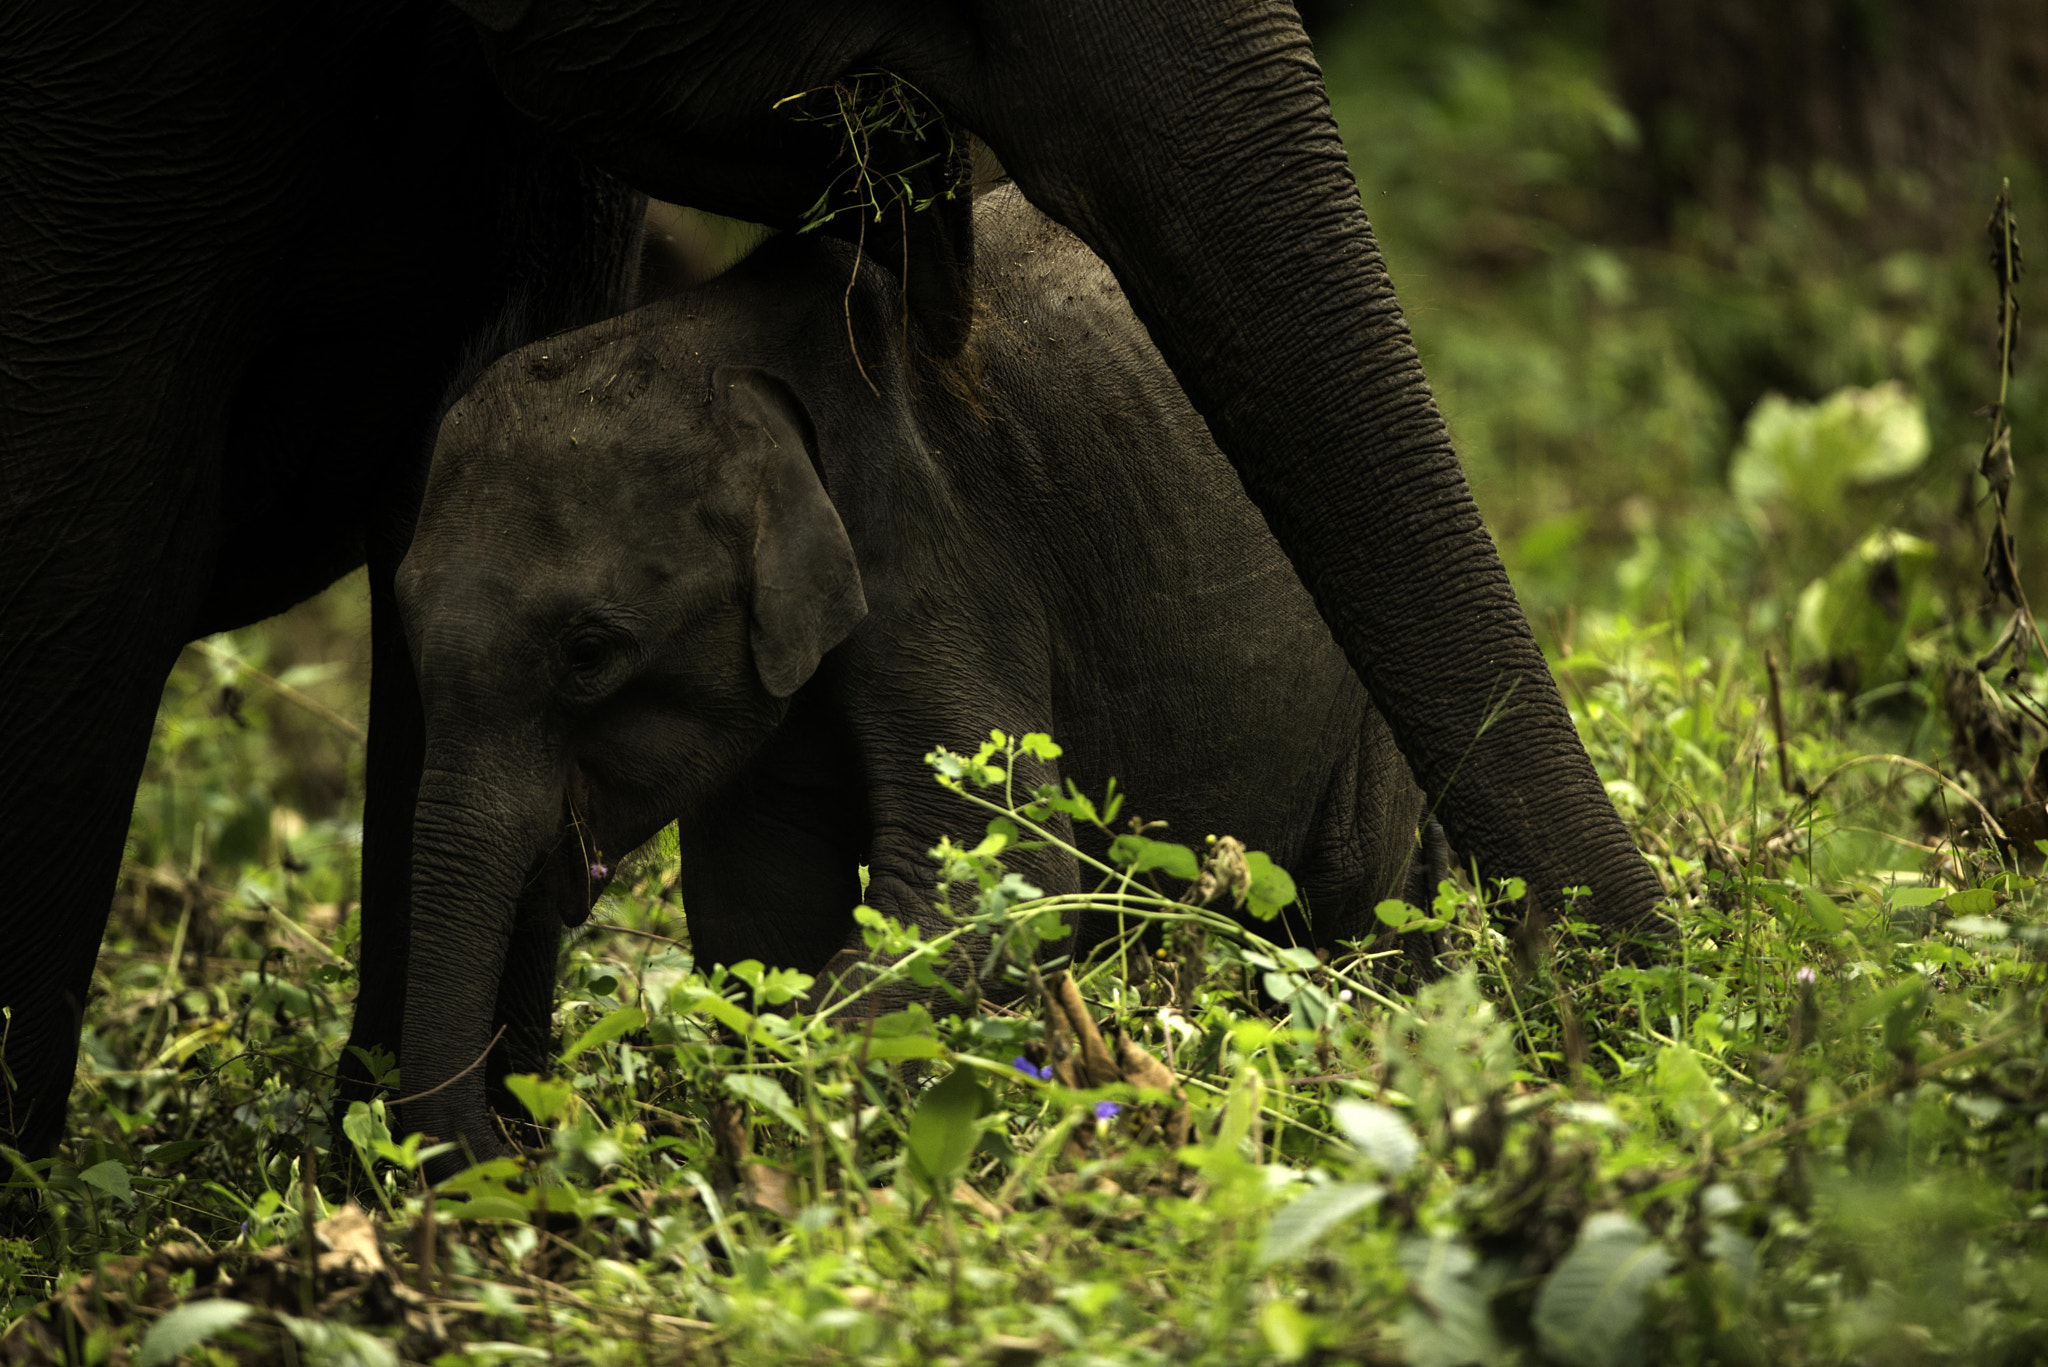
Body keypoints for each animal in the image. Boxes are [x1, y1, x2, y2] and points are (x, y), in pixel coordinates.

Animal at [395, 187, 1441, 1164]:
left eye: (589, 654)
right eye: (401, 616)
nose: (511, 1149)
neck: (720, 350)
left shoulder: (937, 551)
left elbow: (999, 868)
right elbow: (761, 906)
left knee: (1337, 908)